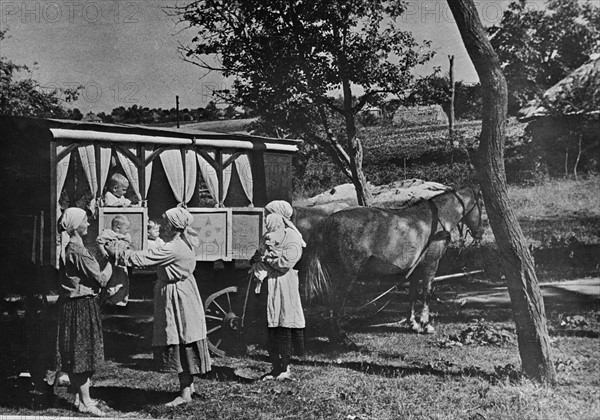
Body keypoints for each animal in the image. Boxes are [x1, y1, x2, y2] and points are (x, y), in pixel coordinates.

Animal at [302, 185, 486, 342]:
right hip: (346, 275)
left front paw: (414, 324)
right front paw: (426, 325)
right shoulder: (431, 264)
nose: (480, 233)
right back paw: (341, 337)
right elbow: (426, 293)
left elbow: (412, 294)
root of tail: (329, 220)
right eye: (481, 205)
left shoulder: (416, 268)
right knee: (337, 301)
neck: (435, 221)